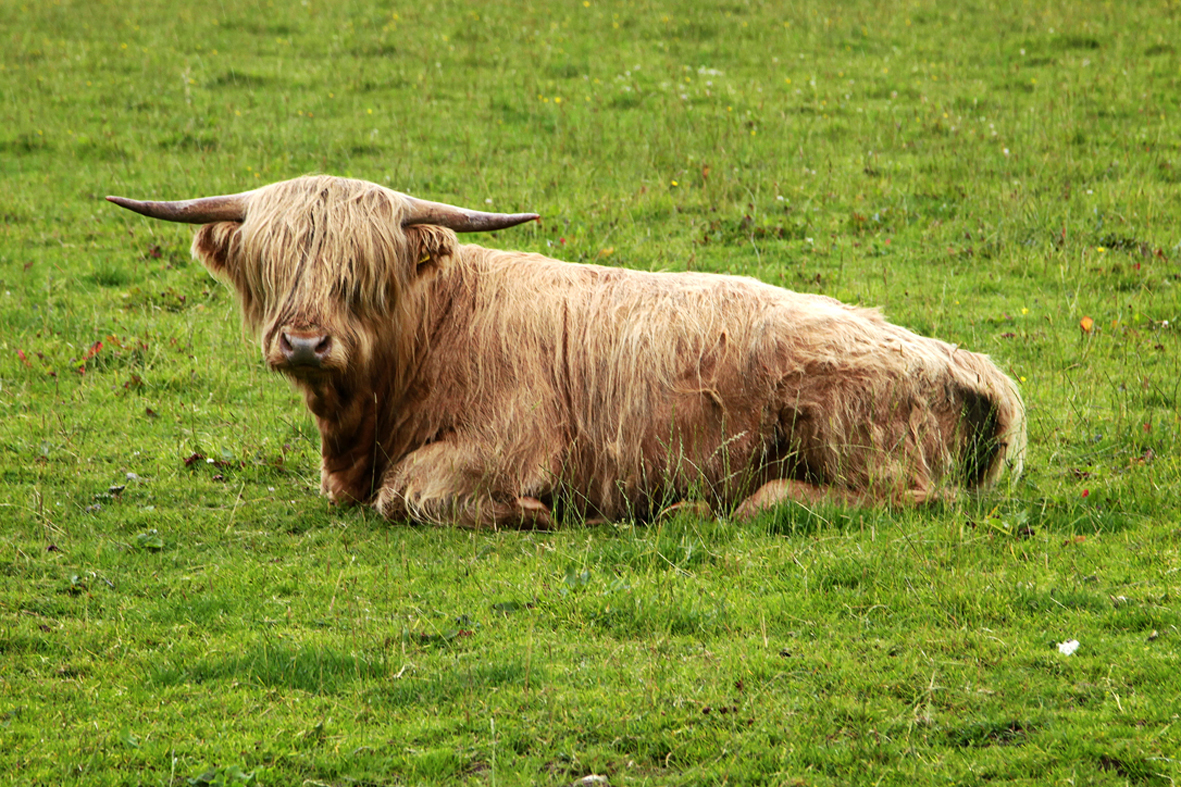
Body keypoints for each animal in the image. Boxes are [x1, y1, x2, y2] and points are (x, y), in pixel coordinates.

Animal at [107, 175, 1026, 529]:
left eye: (362, 273)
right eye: (272, 264)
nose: (303, 339)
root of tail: (957, 357)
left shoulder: (506, 445)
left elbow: (410, 493)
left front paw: (534, 514)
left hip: (852, 440)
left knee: (888, 498)